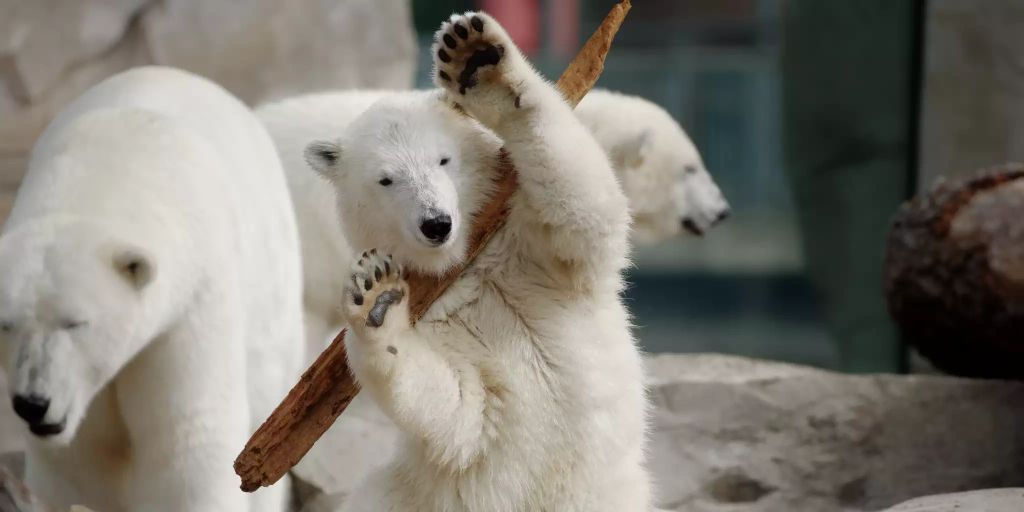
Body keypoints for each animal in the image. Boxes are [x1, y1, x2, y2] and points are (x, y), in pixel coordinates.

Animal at [0, 67, 303, 512]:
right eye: (5, 325)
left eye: (75, 322)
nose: (33, 404)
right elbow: (76, 459)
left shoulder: (190, 304)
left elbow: (187, 441)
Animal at [303, 12, 651, 512]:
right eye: (386, 179)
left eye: (443, 159)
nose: (436, 223)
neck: (467, 269)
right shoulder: (437, 320)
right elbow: (462, 410)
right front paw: (377, 299)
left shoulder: (529, 252)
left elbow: (585, 214)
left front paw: (479, 64)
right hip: (405, 494)